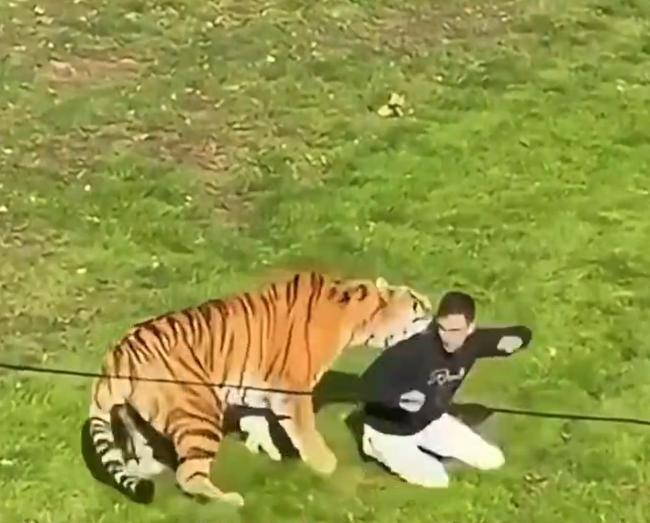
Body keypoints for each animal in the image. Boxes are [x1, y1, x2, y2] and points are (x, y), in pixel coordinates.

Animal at [87, 271, 433, 507]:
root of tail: (117, 352)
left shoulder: (252, 385)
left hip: (134, 414)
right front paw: (327, 467)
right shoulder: (293, 389)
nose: (433, 314)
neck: (356, 317)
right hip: (200, 411)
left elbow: (257, 420)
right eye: (417, 303)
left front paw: (266, 450)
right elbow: (305, 431)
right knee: (189, 475)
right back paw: (228, 500)